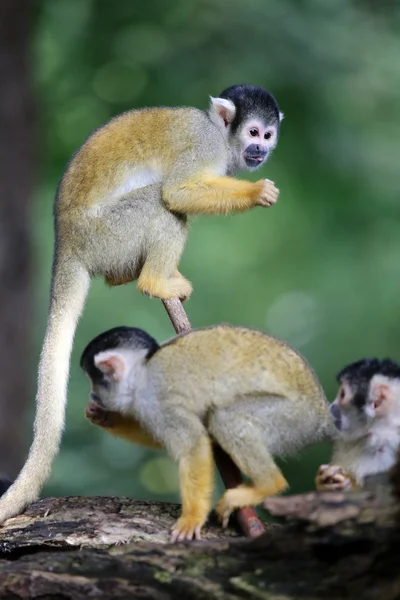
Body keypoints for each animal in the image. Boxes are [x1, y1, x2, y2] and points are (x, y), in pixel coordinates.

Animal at [0, 82, 284, 524]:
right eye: (253, 133)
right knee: (161, 203)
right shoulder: (203, 145)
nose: (261, 149)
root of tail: (67, 244)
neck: (221, 135)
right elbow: (178, 192)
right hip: (107, 234)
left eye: (268, 135)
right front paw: (257, 193)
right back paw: (155, 282)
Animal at [79, 326, 332, 540]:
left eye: (93, 380)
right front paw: (105, 418)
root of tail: (322, 415)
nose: (92, 395)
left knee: (226, 418)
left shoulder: (157, 398)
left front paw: (191, 519)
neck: (142, 372)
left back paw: (268, 484)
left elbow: (193, 444)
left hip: (292, 418)